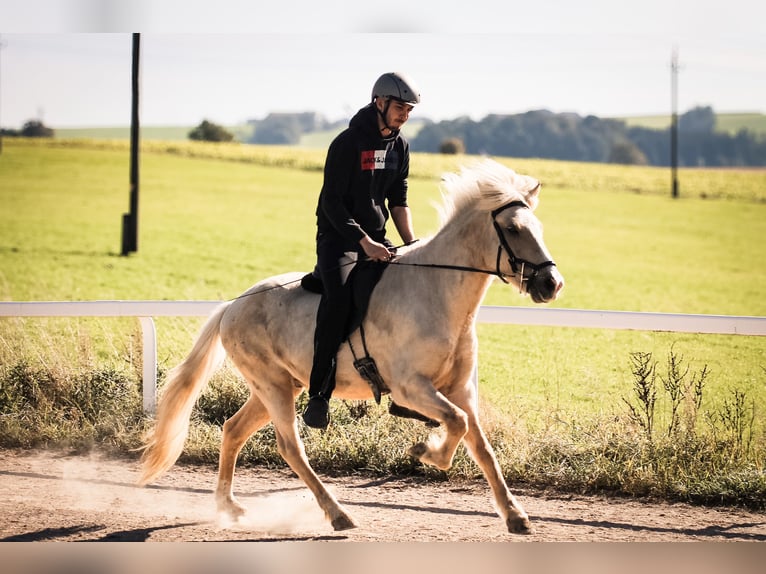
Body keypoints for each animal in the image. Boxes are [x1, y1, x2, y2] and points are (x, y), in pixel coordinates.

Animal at [141, 156, 568, 536]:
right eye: (513, 229)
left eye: (539, 227)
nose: (552, 284)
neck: (437, 292)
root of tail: (232, 306)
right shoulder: (411, 388)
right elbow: (458, 425)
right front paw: (425, 452)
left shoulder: (460, 390)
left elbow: (480, 445)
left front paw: (515, 516)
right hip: (274, 387)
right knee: (290, 447)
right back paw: (337, 514)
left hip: (279, 386)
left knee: (233, 430)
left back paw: (228, 507)